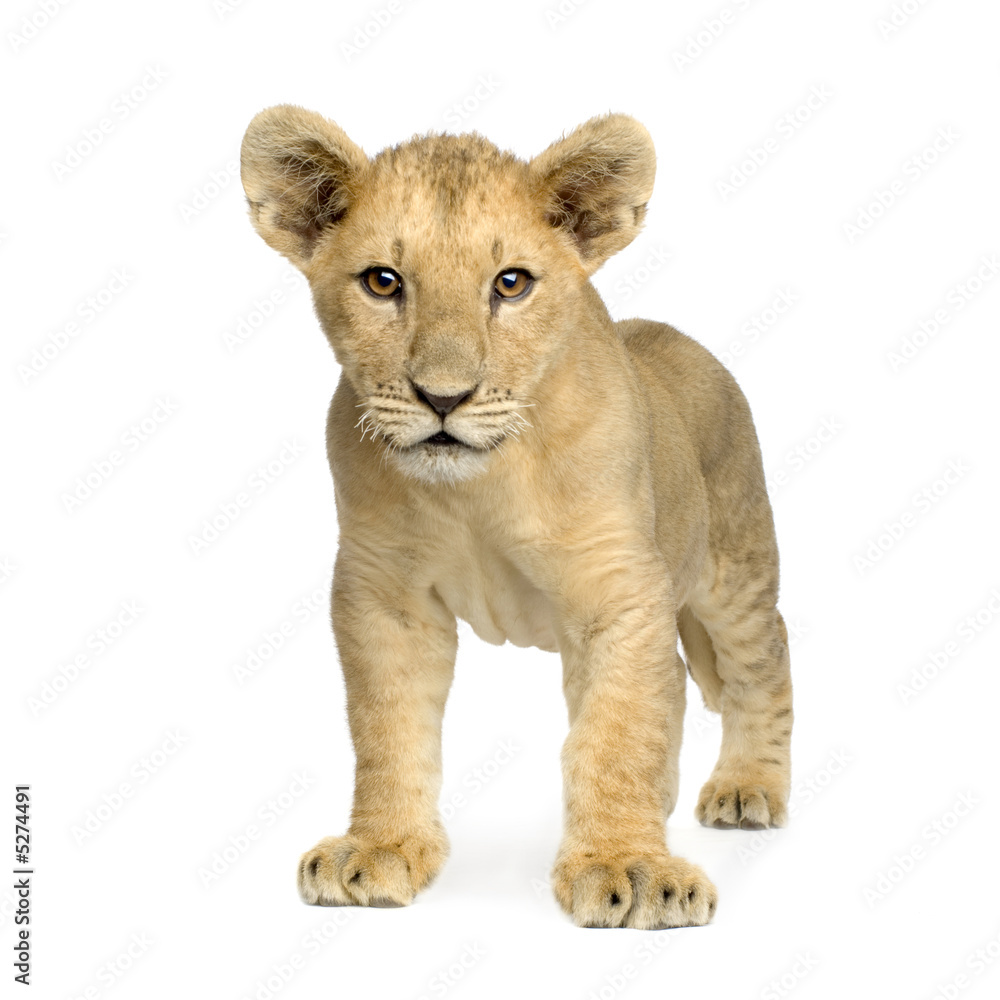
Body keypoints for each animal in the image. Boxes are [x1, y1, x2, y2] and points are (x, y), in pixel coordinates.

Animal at [239, 105, 793, 929]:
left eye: (511, 283)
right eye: (382, 282)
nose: (443, 398)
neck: (478, 490)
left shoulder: (620, 588)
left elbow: (616, 731)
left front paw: (627, 866)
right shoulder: (382, 593)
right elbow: (388, 727)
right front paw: (381, 847)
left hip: (736, 570)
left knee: (763, 662)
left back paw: (748, 788)